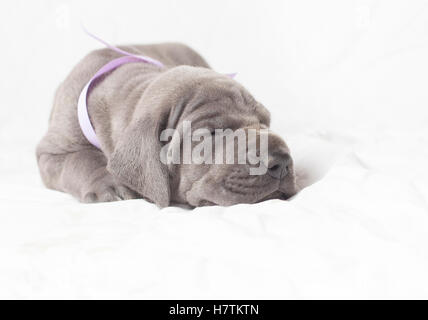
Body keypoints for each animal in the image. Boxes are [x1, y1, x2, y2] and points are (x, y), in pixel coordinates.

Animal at [36, 43, 296, 208]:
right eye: (211, 134)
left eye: (264, 122)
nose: (281, 162)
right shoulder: (50, 152)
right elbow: (80, 160)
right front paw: (109, 184)